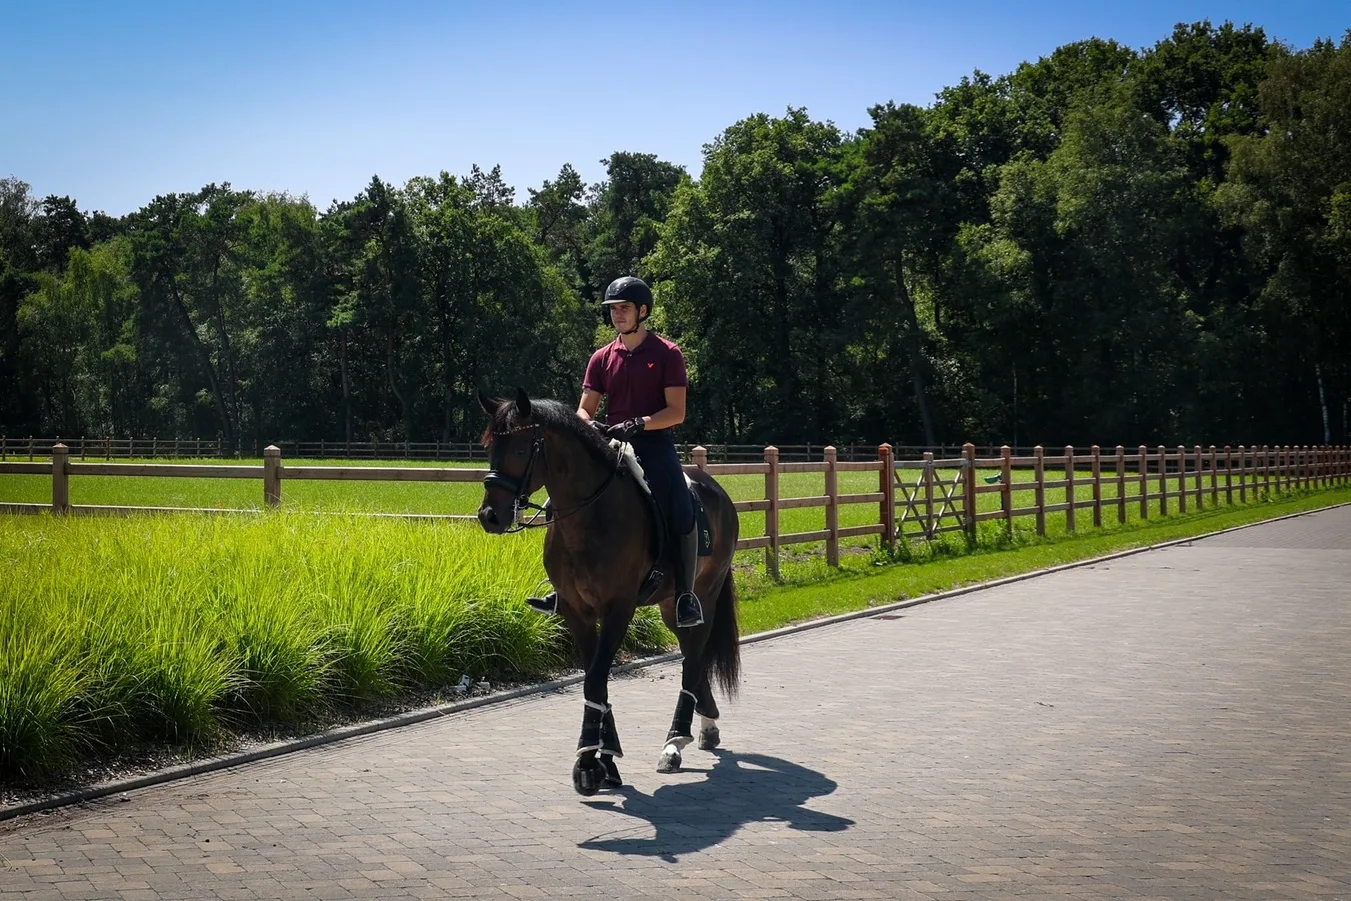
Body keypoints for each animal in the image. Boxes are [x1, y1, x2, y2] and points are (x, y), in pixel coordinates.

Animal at [476, 388, 741, 796]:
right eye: (490, 446)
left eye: (520, 448)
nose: (490, 516)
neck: (591, 516)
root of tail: (716, 491)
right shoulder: (576, 610)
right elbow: (594, 679)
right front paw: (603, 760)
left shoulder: (619, 608)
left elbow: (596, 677)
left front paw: (590, 760)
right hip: (669, 606)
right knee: (691, 658)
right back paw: (706, 726)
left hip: (704, 597)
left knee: (694, 658)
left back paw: (675, 743)